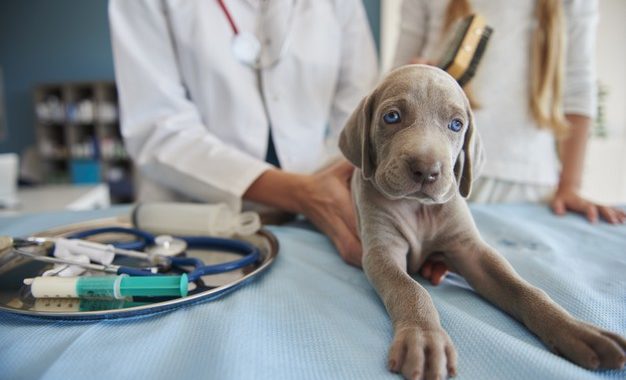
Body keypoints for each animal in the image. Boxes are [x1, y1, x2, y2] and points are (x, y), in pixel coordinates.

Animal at [342, 63, 624, 378]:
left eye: (456, 125)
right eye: (391, 117)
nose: (426, 170)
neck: (418, 208)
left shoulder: (471, 251)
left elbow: (522, 287)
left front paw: (575, 330)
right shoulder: (382, 252)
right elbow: (409, 289)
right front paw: (425, 339)